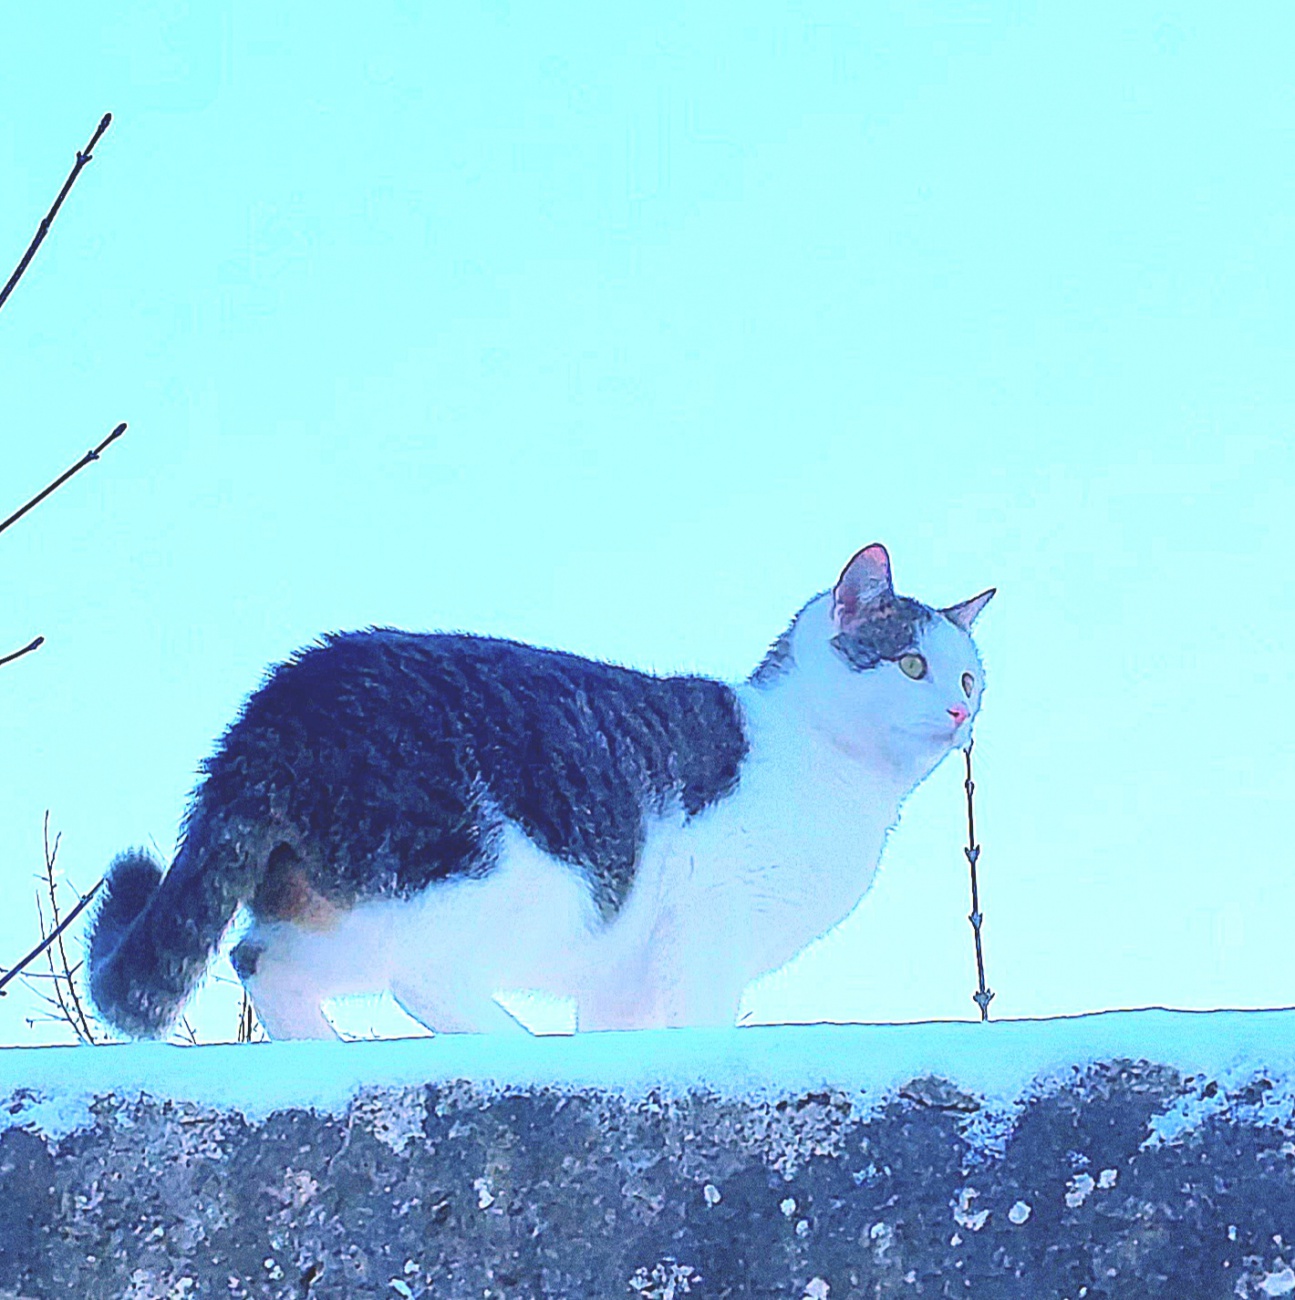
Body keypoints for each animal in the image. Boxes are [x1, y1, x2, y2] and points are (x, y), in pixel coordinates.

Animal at [88, 543, 993, 1040]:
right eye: (911, 664)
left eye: (970, 677)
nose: (959, 711)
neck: (831, 770)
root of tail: (283, 697)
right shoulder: (709, 929)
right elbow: (701, 1015)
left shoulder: (623, 975)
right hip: (498, 873)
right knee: (412, 977)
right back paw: (508, 1045)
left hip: (342, 905)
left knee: (260, 958)